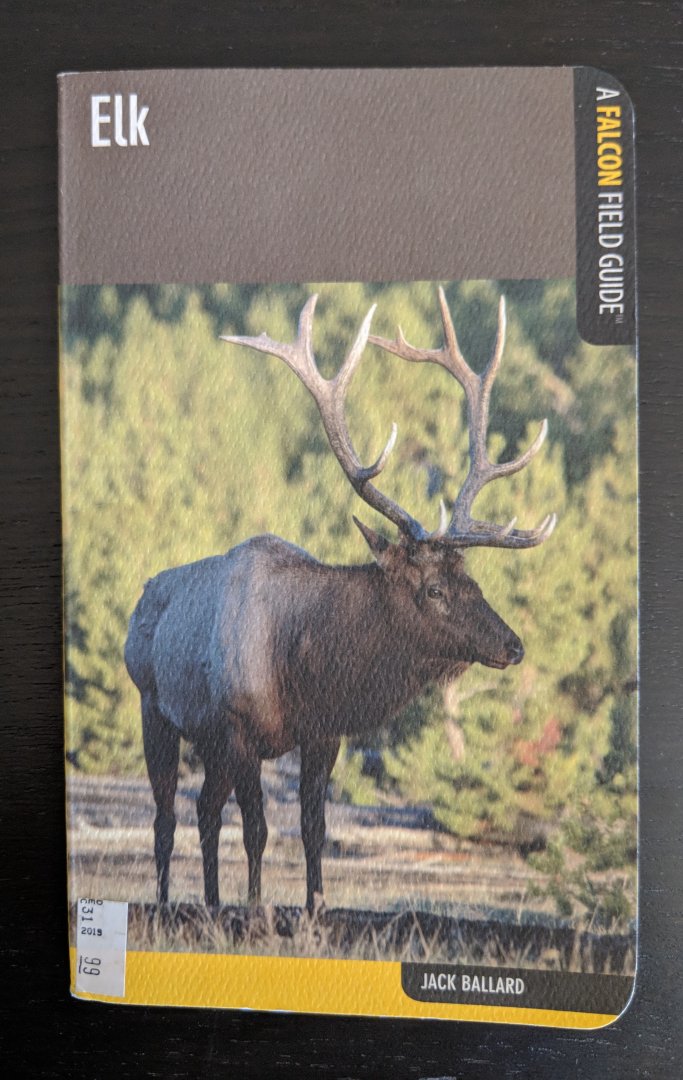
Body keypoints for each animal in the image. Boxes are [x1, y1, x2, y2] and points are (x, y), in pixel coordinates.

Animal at [124, 288, 556, 915]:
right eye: (433, 589)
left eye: (473, 581)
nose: (513, 645)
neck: (303, 667)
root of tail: (141, 597)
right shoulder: (240, 731)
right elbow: (258, 829)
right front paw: (257, 910)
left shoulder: (321, 734)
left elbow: (313, 828)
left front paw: (314, 909)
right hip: (154, 708)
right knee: (165, 818)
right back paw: (165, 904)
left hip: (207, 741)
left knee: (205, 809)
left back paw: (211, 903)